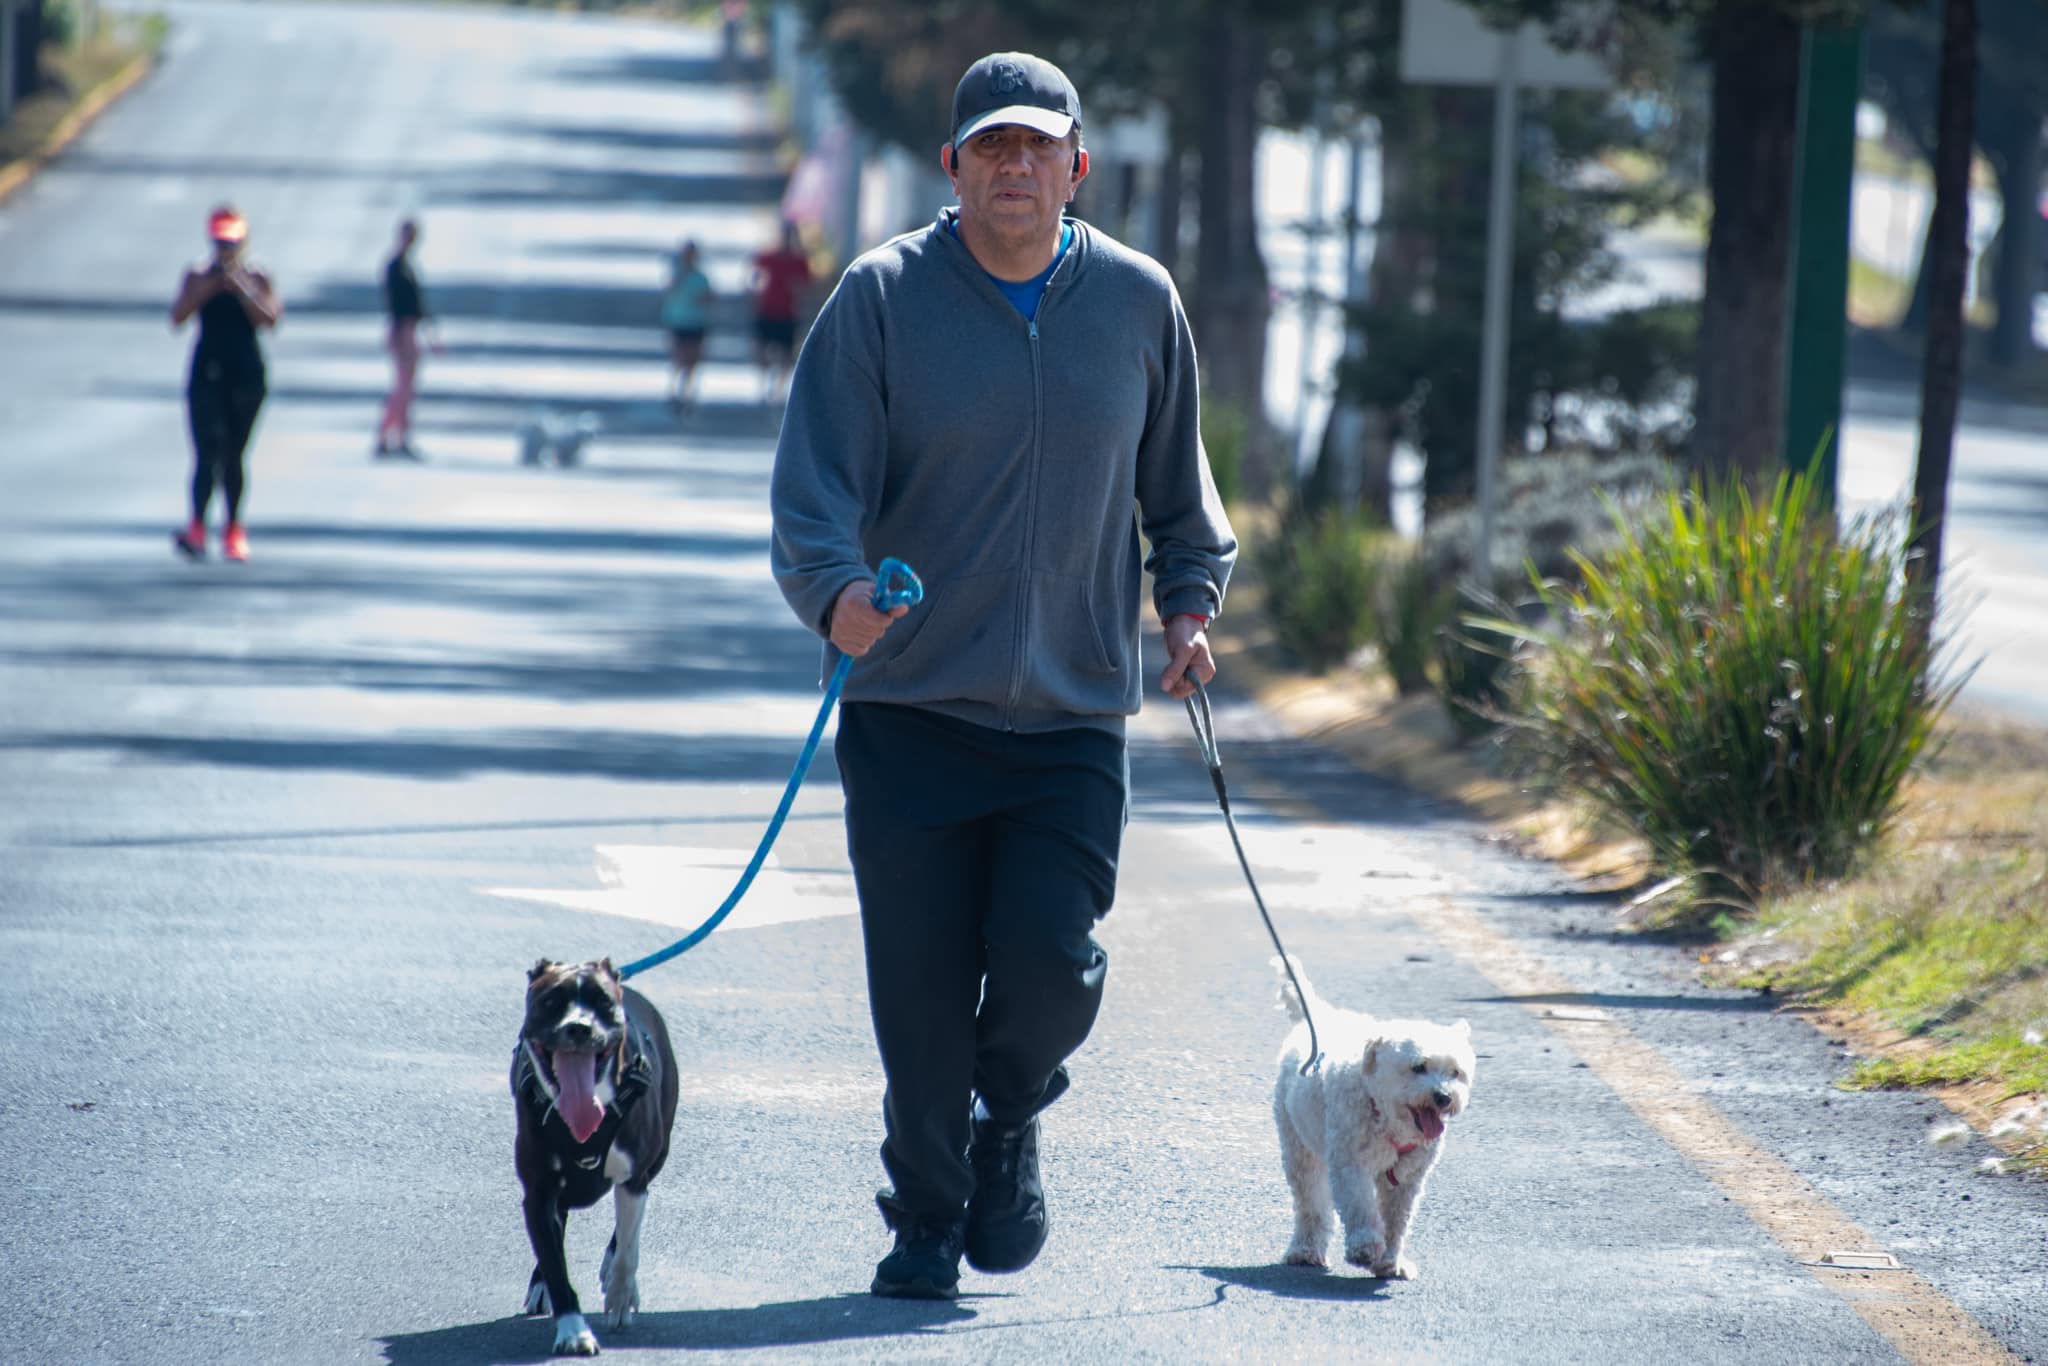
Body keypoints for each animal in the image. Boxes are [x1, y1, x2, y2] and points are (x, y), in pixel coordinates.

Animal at [512, 962, 679, 1359]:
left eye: (602, 1001)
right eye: (550, 1000)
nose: (579, 1027)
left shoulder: (634, 1179)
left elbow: (628, 1248)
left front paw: (620, 1295)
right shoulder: (538, 1194)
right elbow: (556, 1264)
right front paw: (573, 1331)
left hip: (658, 1157)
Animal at [1261, 950, 1474, 1286]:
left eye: (1455, 1072)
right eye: (1418, 1067)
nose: (1444, 1097)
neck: (1384, 1115)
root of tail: (1317, 1015)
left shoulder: (1407, 1179)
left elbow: (1397, 1221)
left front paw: (1390, 1262)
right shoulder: (1350, 1164)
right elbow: (1359, 1206)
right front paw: (1366, 1247)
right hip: (1298, 1148)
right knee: (1310, 1201)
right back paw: (1306, 1249)